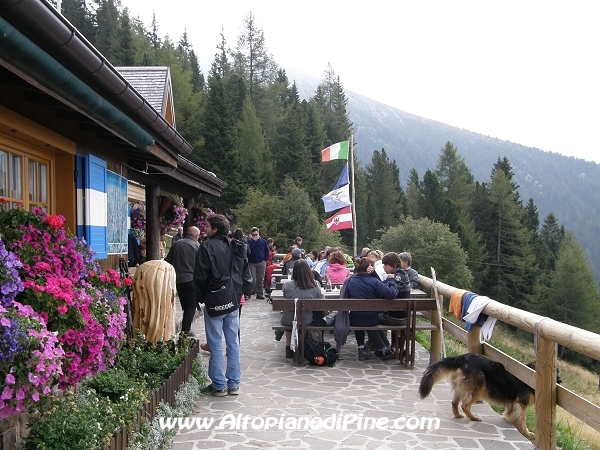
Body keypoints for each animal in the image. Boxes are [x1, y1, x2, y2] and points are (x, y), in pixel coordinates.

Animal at [420, 354, 560, 438]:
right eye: (555, 374)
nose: (561, 380)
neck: (531, 376)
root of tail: (464, 356)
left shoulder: (514, 403)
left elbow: (513, 414)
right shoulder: (521, 403)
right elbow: (523, 419)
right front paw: (526, 432)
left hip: (463, 386)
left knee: (454, 402)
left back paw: (458, 415)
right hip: (478, 389)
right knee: (465, 405)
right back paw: (473, 418)